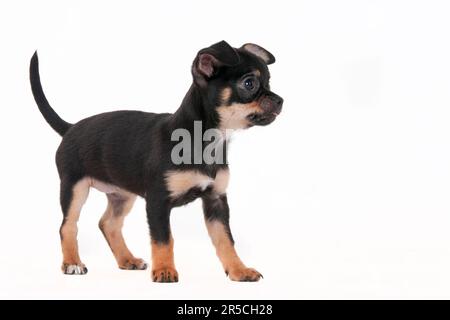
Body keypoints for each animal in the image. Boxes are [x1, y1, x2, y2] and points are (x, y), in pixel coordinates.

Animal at [30, 40, 284, 282]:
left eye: (269, 82)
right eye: (249, 84)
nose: (281, 100)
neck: (205, 141)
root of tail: (70, 128)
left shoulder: (216, 200)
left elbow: (226, 240)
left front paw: (239, 270)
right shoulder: (158, 202)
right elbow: (163, 239)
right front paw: (164, 270)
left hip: (122, 195)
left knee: (108, 223)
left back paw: (127, 259)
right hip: (75, 188)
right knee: (68, 226)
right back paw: (72, 263)